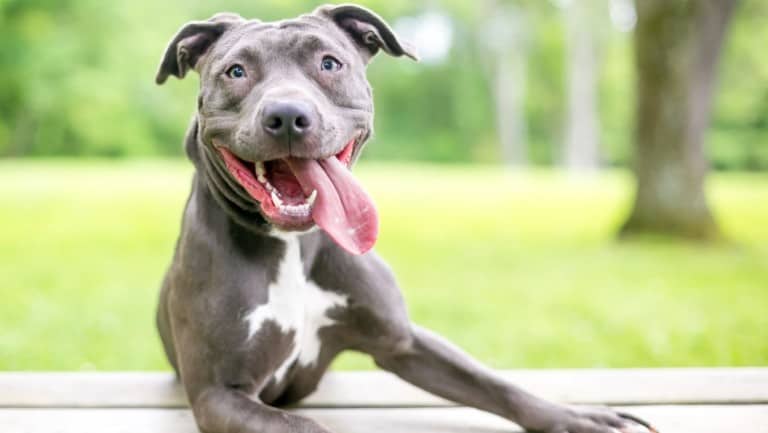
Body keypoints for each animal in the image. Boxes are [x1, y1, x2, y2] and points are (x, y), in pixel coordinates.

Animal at [154, 4, 656, 432]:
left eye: (330, 64)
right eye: (236, 71)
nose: (288, 115)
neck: (293, 244)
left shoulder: (404, 340)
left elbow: (493, 383)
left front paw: (576, 416)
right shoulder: (220, 393)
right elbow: (305, 425)